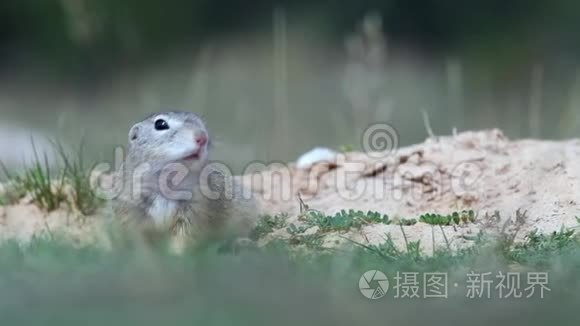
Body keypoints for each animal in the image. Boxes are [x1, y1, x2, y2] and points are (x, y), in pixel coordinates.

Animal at [111, 111, 258, 246]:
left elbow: (183, 239)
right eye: (160, 124)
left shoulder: (195, 211)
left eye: (201, 122)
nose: (203, 137)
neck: (168, 182)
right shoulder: (130, 211)